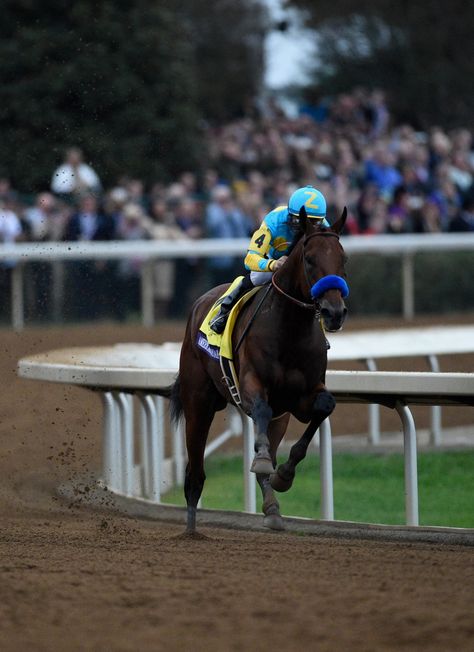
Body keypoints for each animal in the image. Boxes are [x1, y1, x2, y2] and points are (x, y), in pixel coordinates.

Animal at [165, 206, 346, 532]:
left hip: (279, 417)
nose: (333, 312)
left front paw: (284, 475)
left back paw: (272, 509)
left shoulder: (301, 397)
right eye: (309, 259)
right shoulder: (251, 386)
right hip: (198, 402)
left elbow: (324, 407)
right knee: (195, 472)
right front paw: (267, 465)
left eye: (343, 259)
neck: (290, 331)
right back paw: (191, 528)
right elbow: (260, 418)